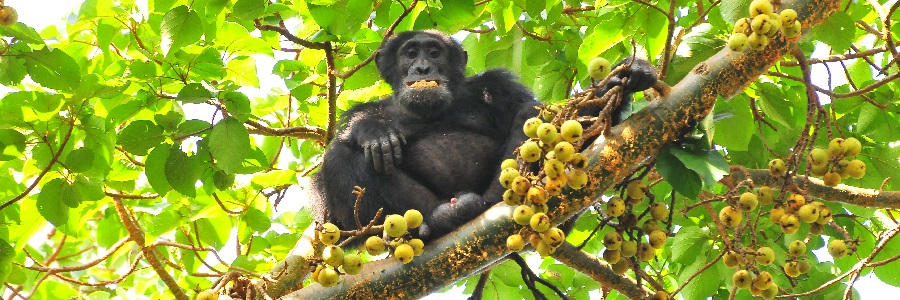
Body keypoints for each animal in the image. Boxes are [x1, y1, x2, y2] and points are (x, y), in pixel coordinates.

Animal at [310, 29, 652, 241]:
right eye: (410, 53)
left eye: (434, 53)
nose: (422, 68)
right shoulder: (370, 107)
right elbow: (330, 213)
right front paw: (373, 130)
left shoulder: (499, 85)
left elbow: (563, 126)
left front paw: (627, 76)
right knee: (340, 157)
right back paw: (439, 220)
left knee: (529, 113)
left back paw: (496, 198)